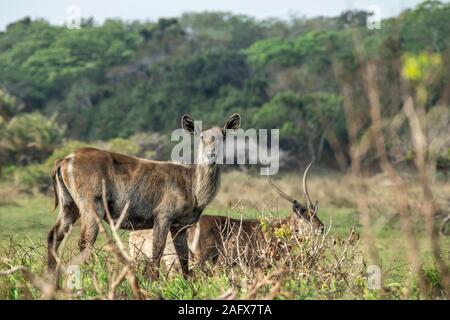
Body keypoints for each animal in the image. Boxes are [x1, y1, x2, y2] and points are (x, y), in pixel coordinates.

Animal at [47, 113, 241, 278]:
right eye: (201, 137)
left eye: (223, 135)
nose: (211, 155)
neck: (192, 186)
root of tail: (65, 159)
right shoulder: (163, 216)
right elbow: (157, 252)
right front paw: (155, 283)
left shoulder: (179, 226)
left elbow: (184, 259)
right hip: (91, 206)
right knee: (85, 242)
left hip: (69, 205)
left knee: (53, 235)